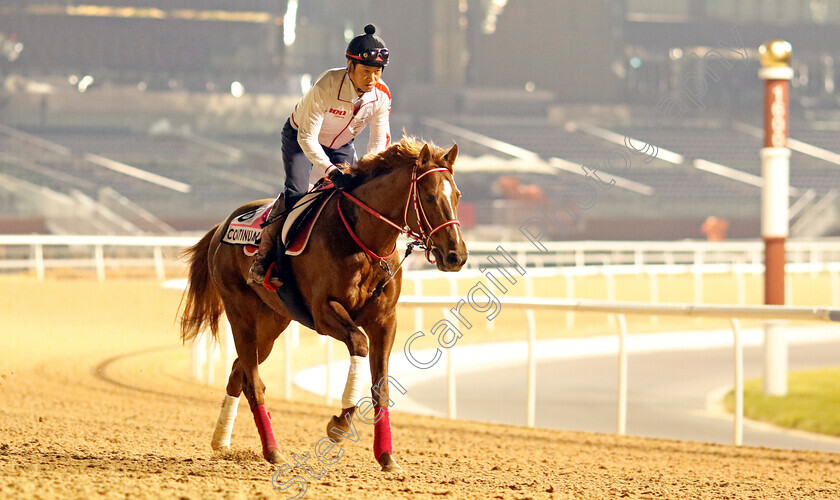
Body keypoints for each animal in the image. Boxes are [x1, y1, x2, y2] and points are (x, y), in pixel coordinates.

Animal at [179, 138, 466, 472]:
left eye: (457, 195)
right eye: (430, 196)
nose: (457, 255)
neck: (364, 242)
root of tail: (222, 225)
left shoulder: (385, 320)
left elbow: (381, 386)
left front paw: (386, 456)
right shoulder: (322, 312)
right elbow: (358, 343)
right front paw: (339, 425)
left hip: (273, 322)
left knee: (239, 372)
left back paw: (221, 441)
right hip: (241, 314)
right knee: (254, 382)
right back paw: (273, 451)